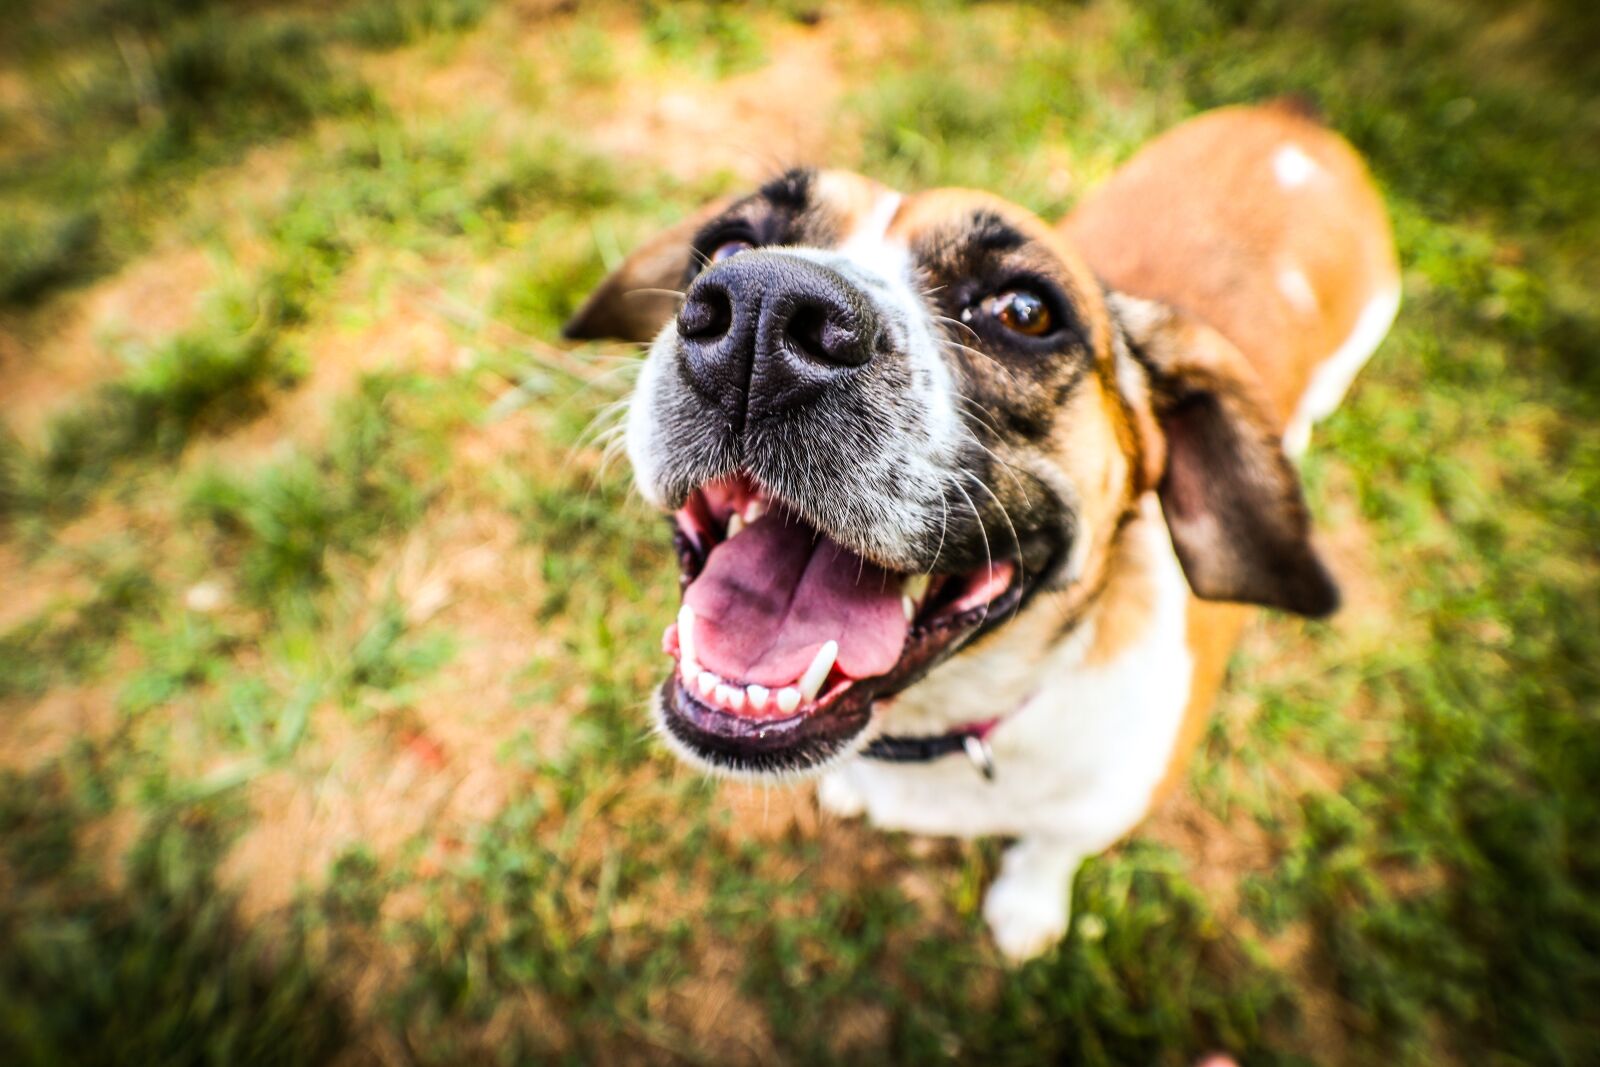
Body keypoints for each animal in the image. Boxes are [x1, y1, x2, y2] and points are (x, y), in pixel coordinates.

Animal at [566, 103, 1401, 966]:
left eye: (1024, 311)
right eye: (731, 243)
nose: (761, 309)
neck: (935, 726)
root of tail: (1293, 116)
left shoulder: (1104, 804)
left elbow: (1053, 846)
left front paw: (1028, 907)